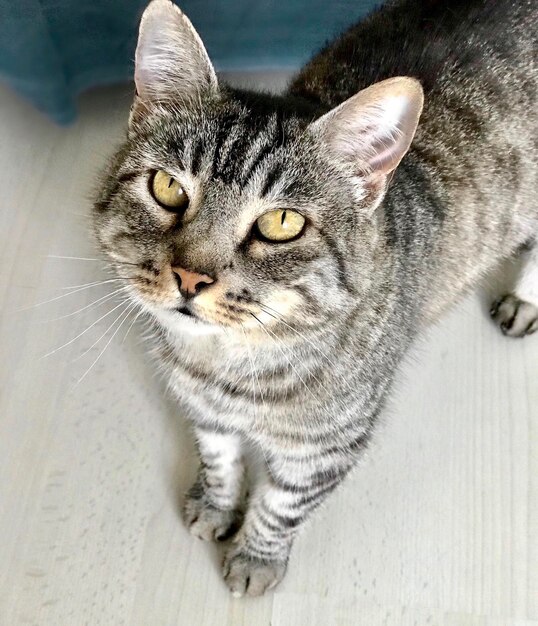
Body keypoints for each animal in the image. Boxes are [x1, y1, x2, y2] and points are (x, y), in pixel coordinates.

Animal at [93, 0, 536, 596]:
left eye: (282, 223)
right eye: (167, 188)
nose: (189, 276)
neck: (230, 365)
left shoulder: (325, 447)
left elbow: (281, 506)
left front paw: (255, 560)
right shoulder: (202, 406)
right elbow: (219, 457)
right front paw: (215, 505)